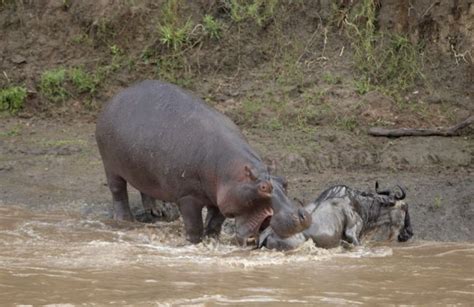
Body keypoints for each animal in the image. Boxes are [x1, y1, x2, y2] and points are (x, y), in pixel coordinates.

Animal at [95, 80, 312, 244]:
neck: (232, 171)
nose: (302, 215)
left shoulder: (222, 197)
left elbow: (215, 222)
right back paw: (125, 219)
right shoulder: (187, 196)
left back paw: (158, 211)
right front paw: (194, 242)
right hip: (110, 165)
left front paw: (213, 240)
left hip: (142, 168)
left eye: (285, 181)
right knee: (118, 191)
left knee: (144, 188)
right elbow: (194, 225)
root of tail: (117, 95)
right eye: (264, 187)